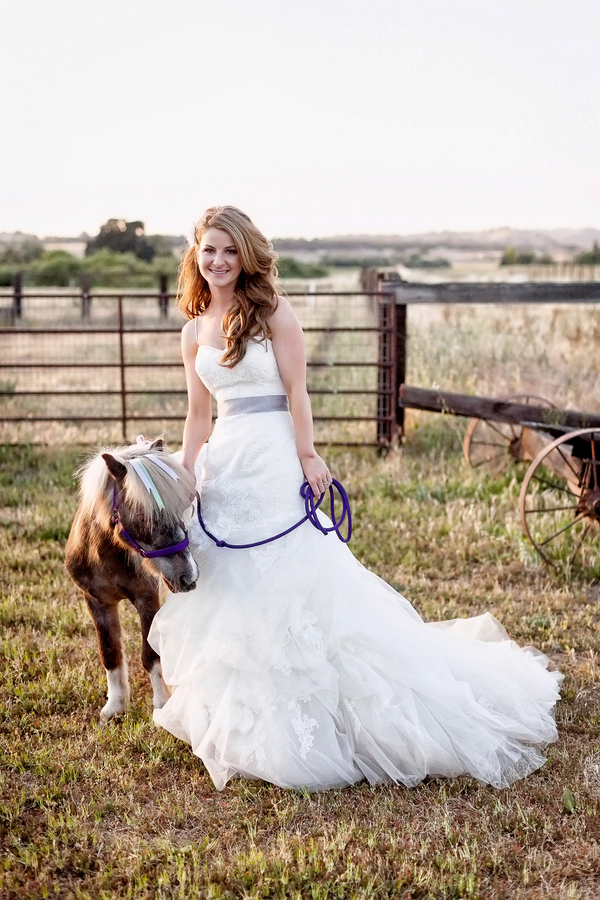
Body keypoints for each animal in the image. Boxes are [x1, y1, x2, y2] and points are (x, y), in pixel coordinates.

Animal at [65, 440, 197, 720]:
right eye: (144, 517)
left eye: (182, 509)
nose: (189, 575)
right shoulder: (96, 602)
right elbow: (109, 652)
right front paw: (115, 706)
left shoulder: (147, 599)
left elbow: (150, 654)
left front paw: (161, 705)